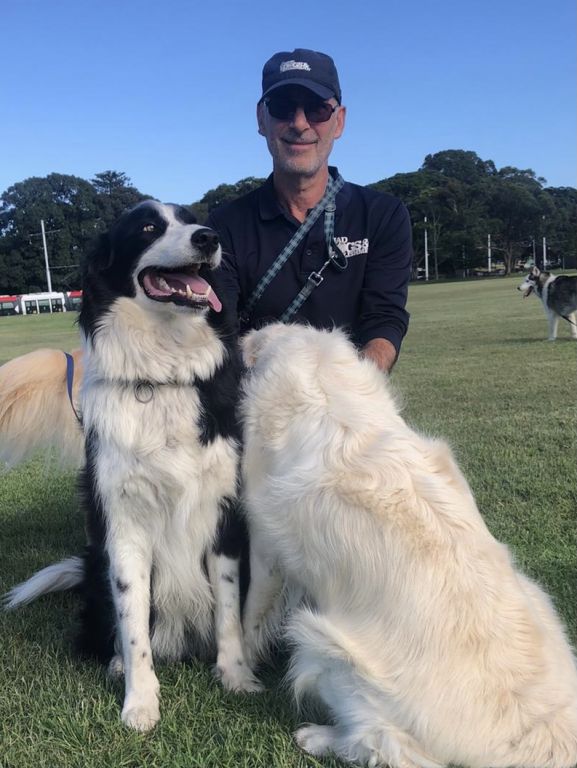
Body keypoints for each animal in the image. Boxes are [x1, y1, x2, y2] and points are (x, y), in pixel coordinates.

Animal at [3, 201, 260, 728]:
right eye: (147, 227)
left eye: (191, 218)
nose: (208, 238)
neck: (162, 375)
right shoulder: (123, 525)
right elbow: (133, 619)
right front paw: (140, 700)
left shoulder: (223, 516)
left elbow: (227, 608)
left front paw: (235, 676)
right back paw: (118, 663)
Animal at [238, 322, 576, 768]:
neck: (322, 380)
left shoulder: (266, 548)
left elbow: (250, 615)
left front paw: (237, 667)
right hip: (537, 594)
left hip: (324, 646)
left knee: (387, 746)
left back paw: (318, 737)